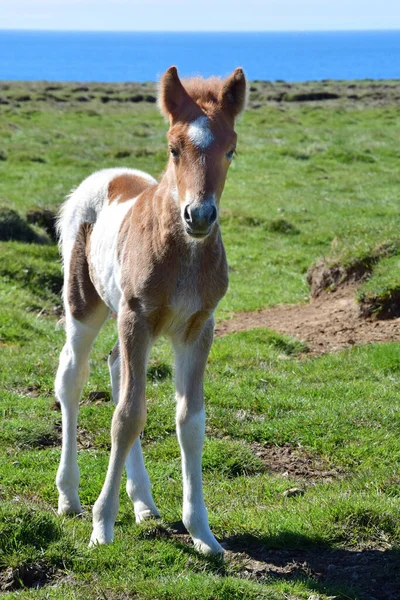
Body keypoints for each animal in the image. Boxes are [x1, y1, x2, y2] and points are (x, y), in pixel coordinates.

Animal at [54, 64, 247, 552]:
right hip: (86, 306)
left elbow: (190, 422)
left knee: (115, 368)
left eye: (231, 150)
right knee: (73, 377)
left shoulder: (199, 327)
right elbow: (126, 417)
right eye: (174, 148)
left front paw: (203, 534)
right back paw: (69, 497)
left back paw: (143, 502)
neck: (183, 255)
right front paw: (101, 526)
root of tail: (107, 175)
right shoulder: (136, 317)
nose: (199, 216)